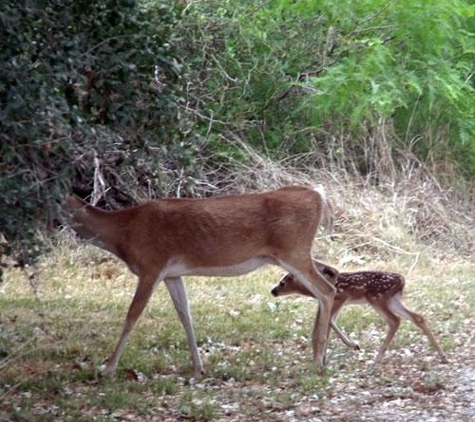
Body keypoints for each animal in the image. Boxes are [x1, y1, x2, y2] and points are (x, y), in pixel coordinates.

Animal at [63, 186, 336, 378]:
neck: (123, 234)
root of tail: (318, 195)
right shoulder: (172, 274)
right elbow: (185, 315)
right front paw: (198, 368)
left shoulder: (151, 266)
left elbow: (132, 315)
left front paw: (107, 369)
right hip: (295, 253)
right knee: (328, 278)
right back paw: (320, 354)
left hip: (293, 250)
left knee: (326, 290)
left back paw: (318, 360)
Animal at [274, 260, 448, 362]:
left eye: (283, 282)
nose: (273, 291)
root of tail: (402, 280)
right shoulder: (329, 302)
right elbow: (327, 322)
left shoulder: (341, 296)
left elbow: (330, 320)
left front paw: (353, 345)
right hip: (393, 299)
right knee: (418, 317)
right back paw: (443, 356)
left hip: (377, 298)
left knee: (394, 320)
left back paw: (378, 358)